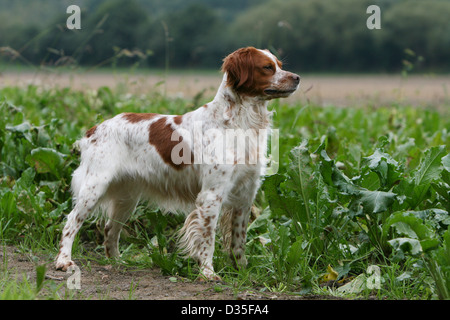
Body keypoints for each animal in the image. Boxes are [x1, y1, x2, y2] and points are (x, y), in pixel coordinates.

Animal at [56, 47, 300, 280]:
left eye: (280, 65)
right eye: (267, 67)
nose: (297, 77)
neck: (239, 122)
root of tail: (94, 129)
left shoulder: (245, 194)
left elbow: (238, 240)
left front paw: (242, 271)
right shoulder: (212, 194)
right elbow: (208, 238)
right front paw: (207, 272)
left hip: (127, 198)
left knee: (110, 228)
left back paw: (117, 261)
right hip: (95, 186)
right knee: (71, 221)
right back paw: (64, 261)